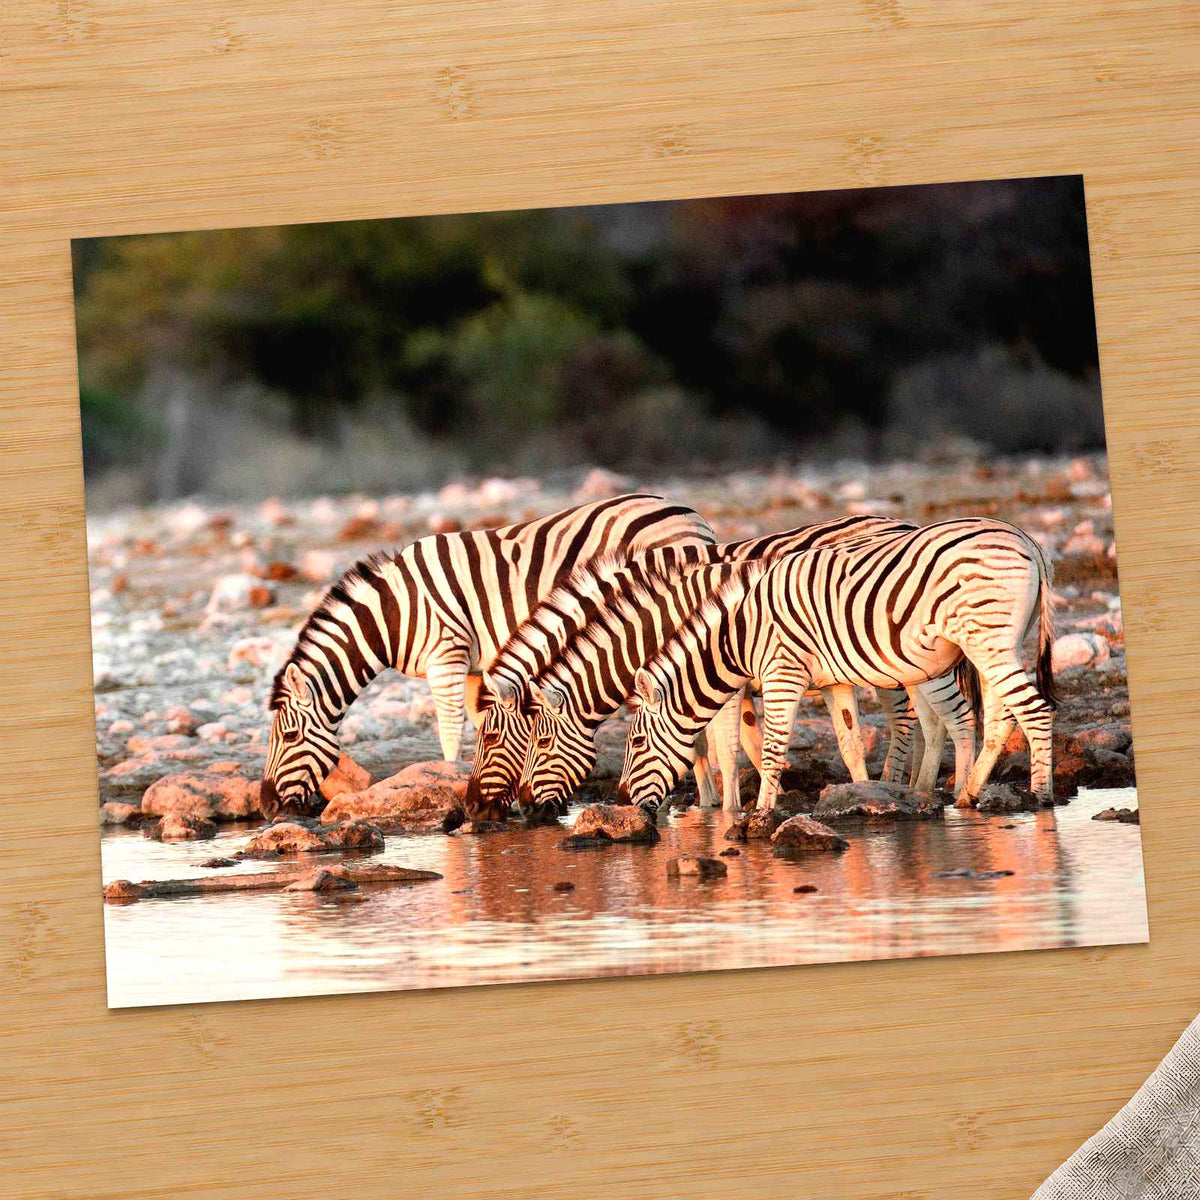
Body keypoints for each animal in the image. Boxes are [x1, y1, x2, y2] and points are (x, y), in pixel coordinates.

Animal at [259, 494, 715, 819]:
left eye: (287, 736)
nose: (265, 806)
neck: (392, 614)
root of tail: (690, 514)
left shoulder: (446, 654)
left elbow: (448, 730)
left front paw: (447, 784)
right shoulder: (476, 667)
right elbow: (484, 724)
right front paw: (495, 796)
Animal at [466, 515, 943, 817]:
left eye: (492, 740)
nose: (472, 807)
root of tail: (900, 522)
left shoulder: (720, 675)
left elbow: (723, 746)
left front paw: (727, 810)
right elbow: (702, 742)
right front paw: (709, 802)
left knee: (907, 720)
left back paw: (898, 784)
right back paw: (911, 787)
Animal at [616, 518, 1056, 814]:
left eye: (636, 742)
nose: (620, 799)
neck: (738, 636)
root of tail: (1025, 538)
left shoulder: (782, 673)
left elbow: (771, 748)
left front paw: (759, 814)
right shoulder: (832, 681)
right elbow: (849, 742)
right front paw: (865, 796)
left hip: (985, 641)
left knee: (1034, 711)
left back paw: (1041, 795)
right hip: (990, 645)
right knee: (1000, 719)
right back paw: (967, 795)